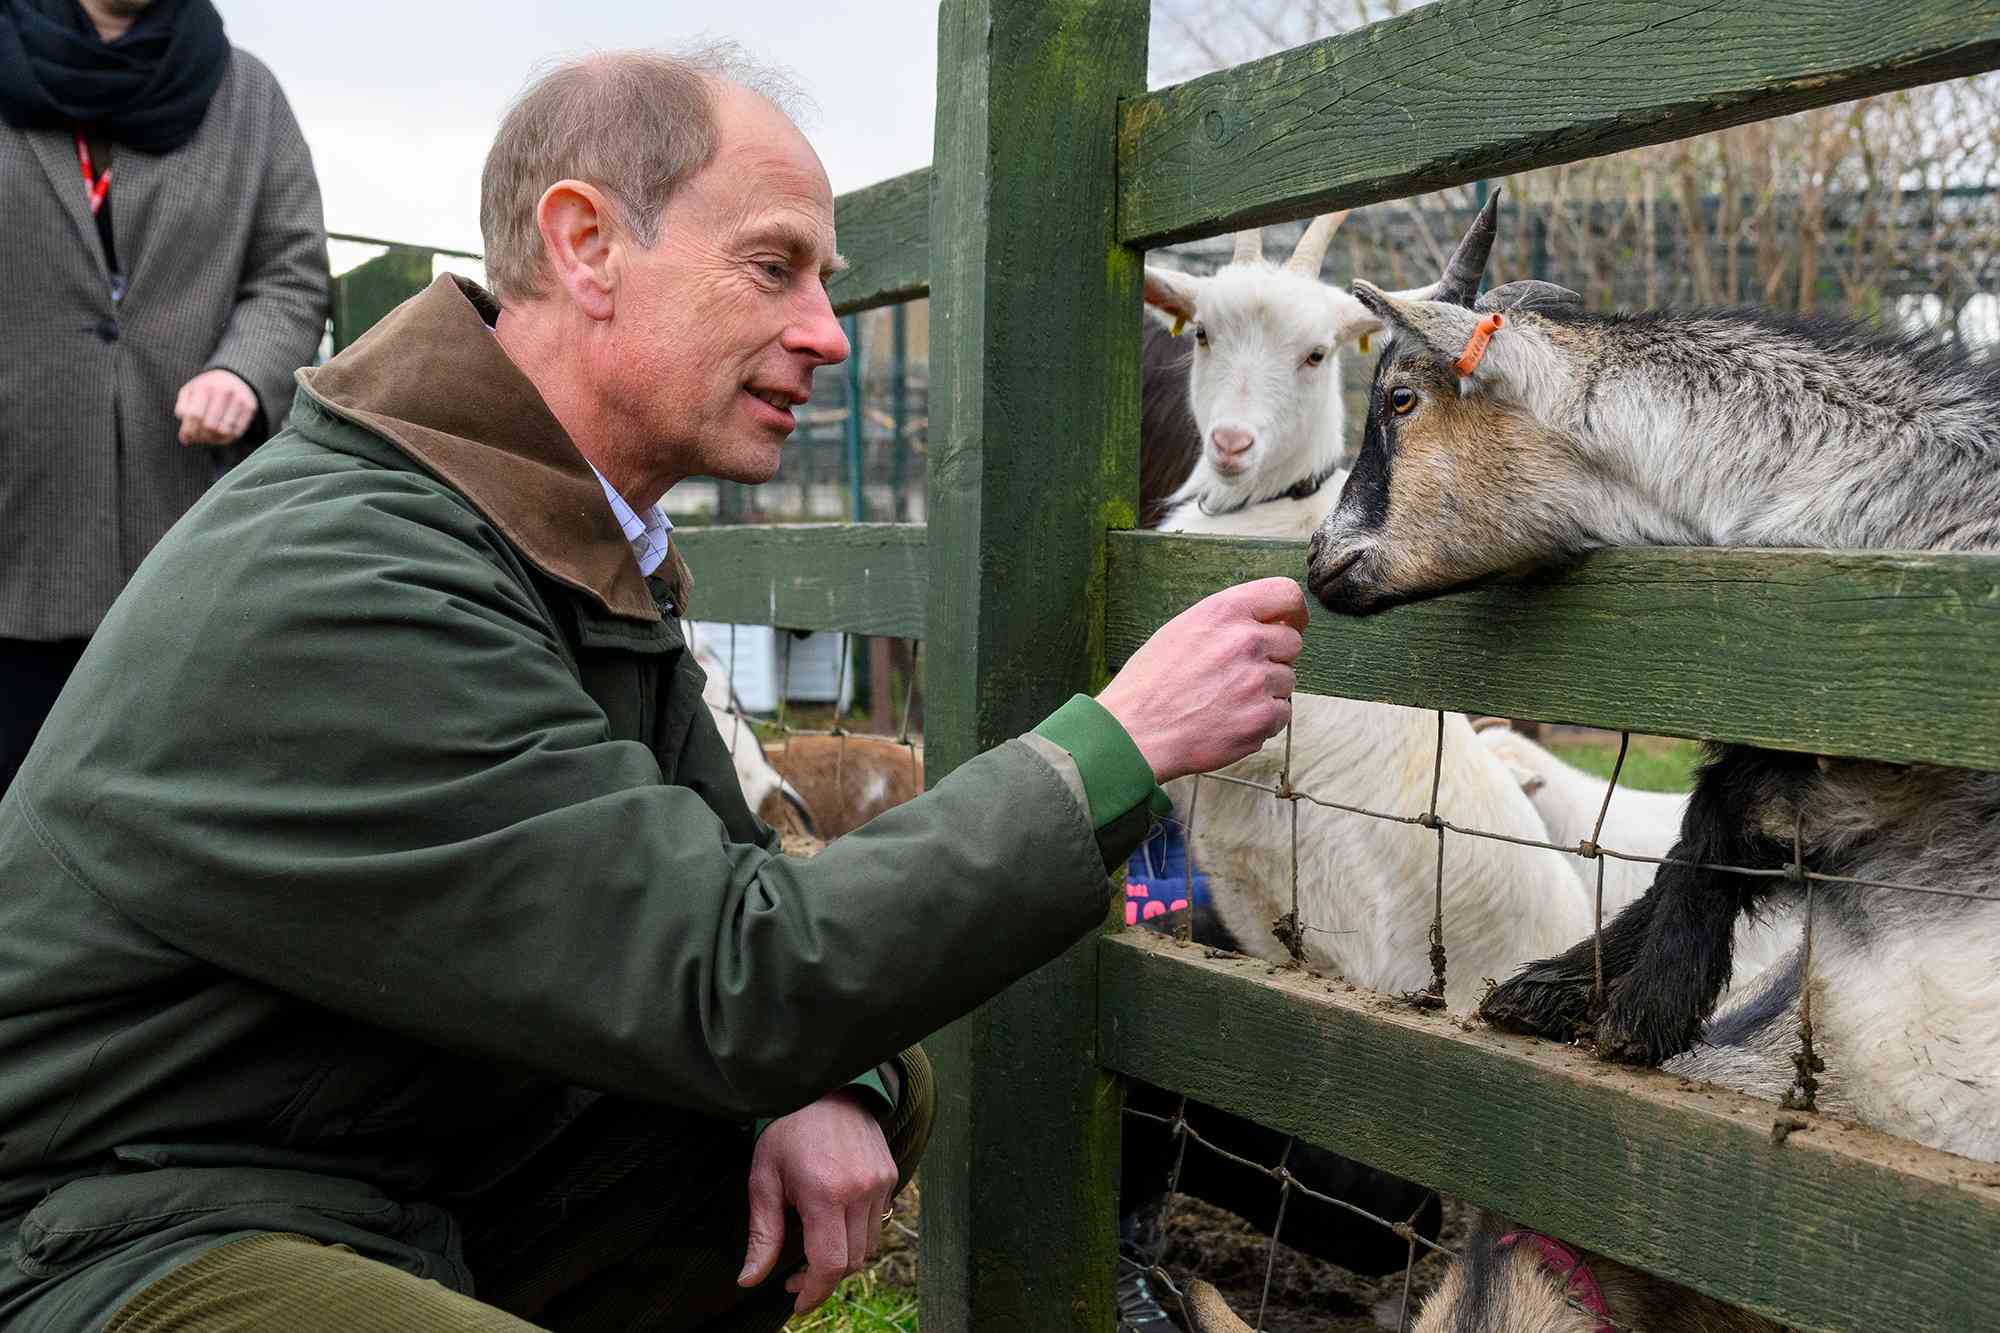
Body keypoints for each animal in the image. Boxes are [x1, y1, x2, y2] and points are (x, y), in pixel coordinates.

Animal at [1304, 195, 2000, 1152]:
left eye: (1401, 400)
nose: (1319, 561)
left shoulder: (1912, 759)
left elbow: (1726, 809)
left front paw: (1638, 1006)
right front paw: (1553, 989)